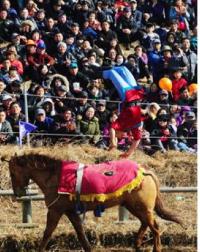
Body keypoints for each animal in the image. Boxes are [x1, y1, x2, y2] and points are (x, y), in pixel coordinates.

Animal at [7, 153, 183, 251]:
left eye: (12, 173)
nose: (18, 193)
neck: (55, 177)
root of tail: (144, 171)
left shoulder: (55, 210)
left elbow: (47, 233)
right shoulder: (70, 211)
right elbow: (80, 232)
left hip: (142, 207)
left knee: (155, 228)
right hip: (133, 206)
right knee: (146, 224)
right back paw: (137, 244)